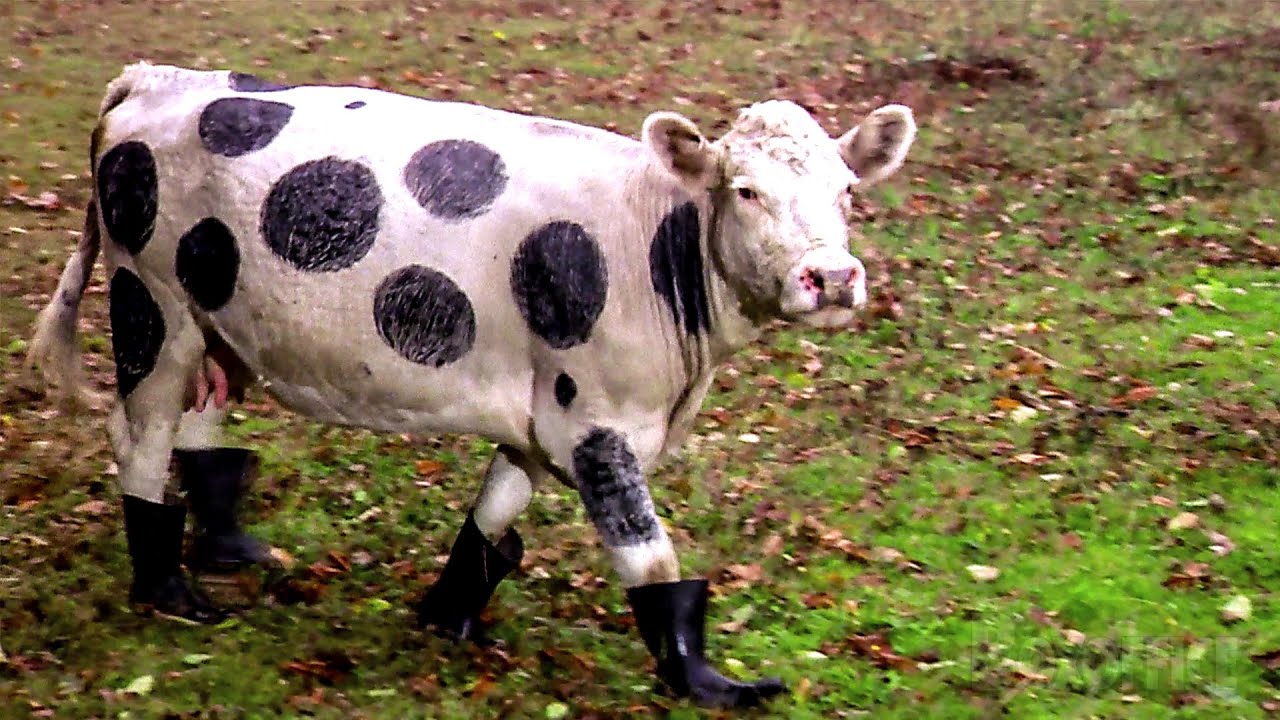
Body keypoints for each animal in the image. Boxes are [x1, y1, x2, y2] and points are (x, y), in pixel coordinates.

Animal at [28, 62, 915, 709]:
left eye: (846, 191)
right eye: (746, 190)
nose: (833, 277)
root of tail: (156, 78)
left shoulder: (541, 415)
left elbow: (491, 521)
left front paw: (446, 616)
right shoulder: (594, 421)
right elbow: (650, 556)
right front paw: (707, 681)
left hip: (215, 319)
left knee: (200, 426)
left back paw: (229, 548)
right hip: (151, 303)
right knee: (140, 438)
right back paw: (170, 589)